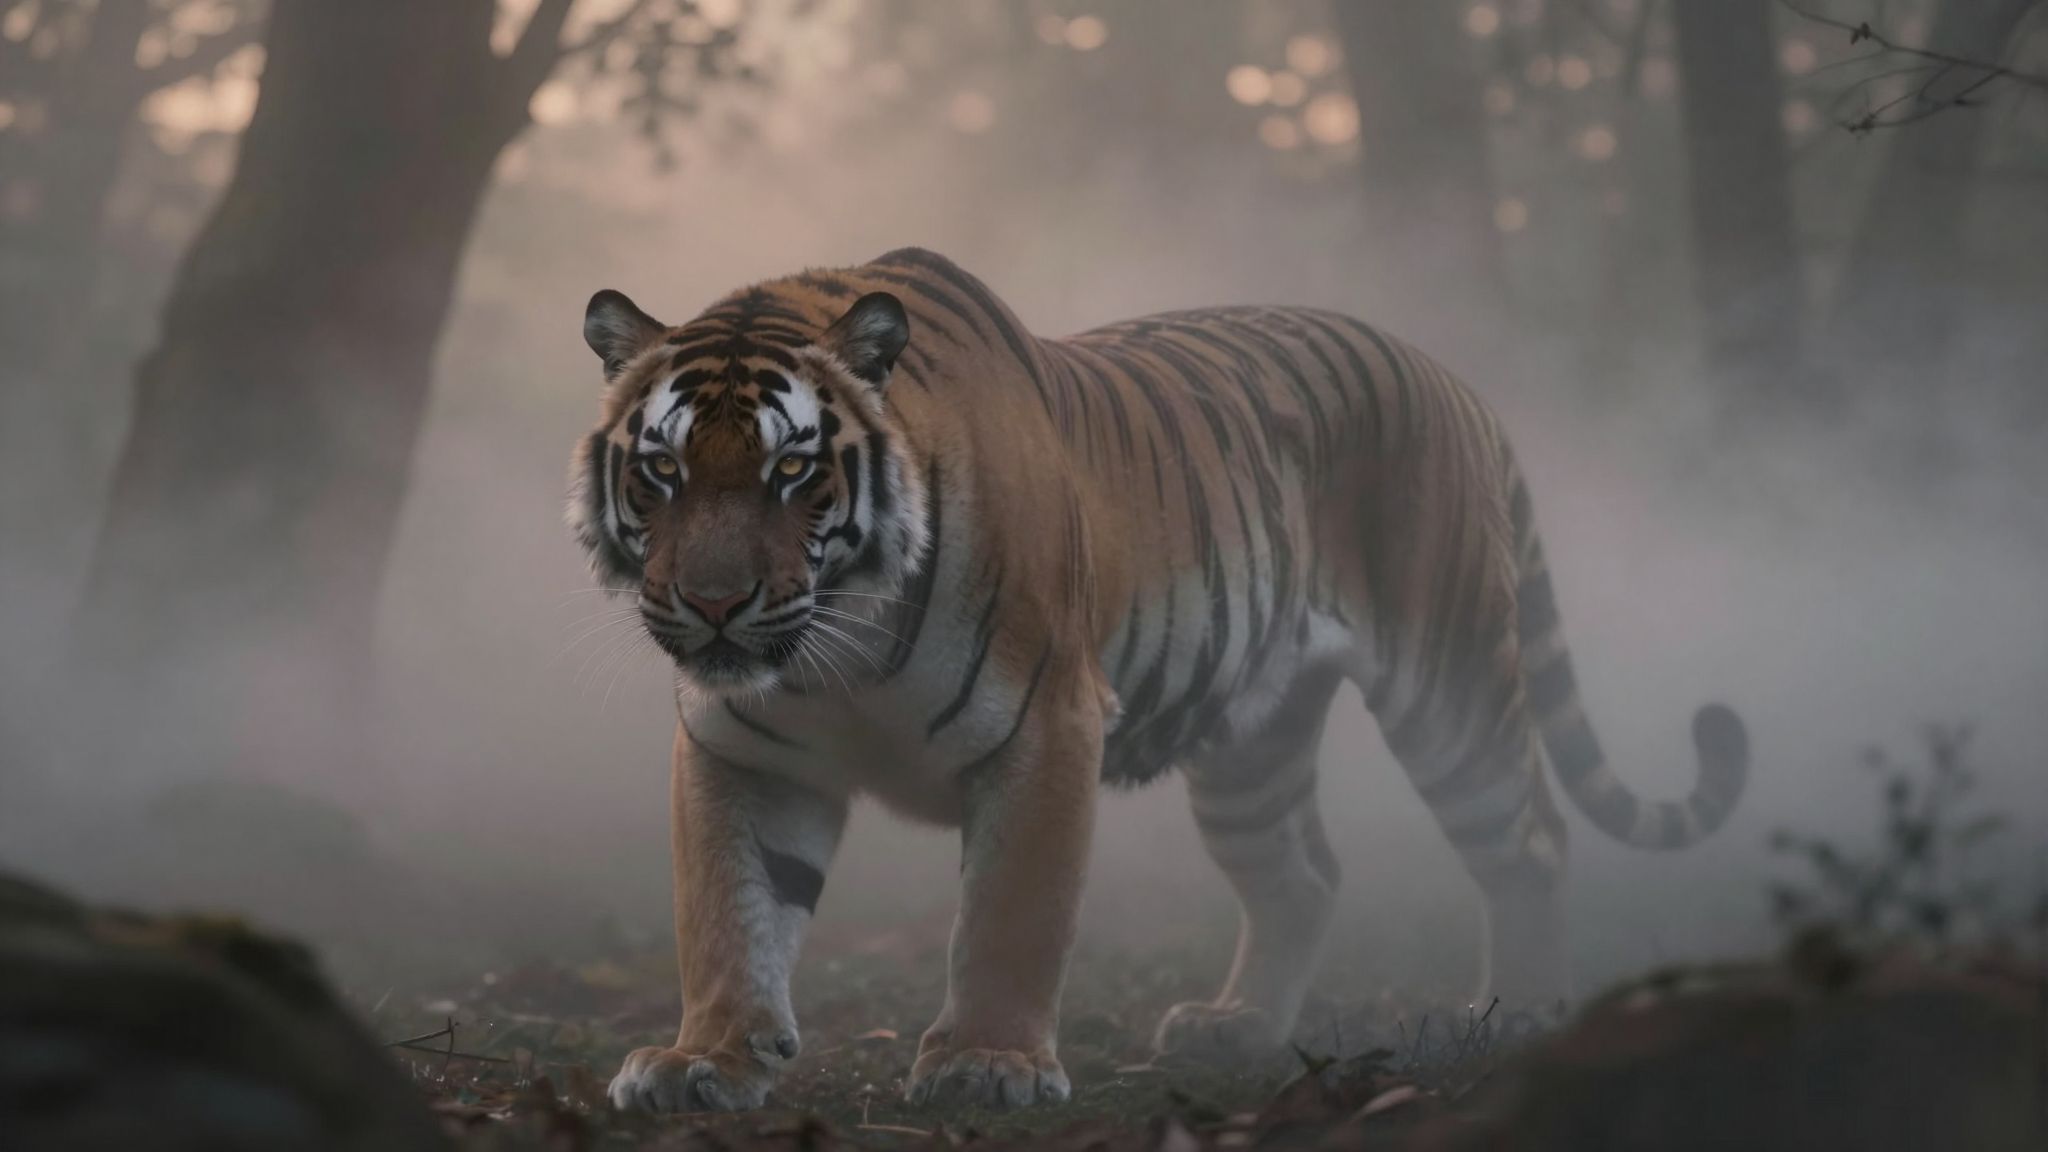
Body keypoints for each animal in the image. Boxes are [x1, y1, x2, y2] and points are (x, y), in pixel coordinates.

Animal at [568, 247, 1750, 1114]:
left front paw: (987, 1065)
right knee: (1301, 875)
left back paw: (1524, 1015)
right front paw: (707, 1061)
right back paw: (1238, 1028)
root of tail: (1450, 377)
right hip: (1251, 746)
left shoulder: (1045, 722)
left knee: (1529, 837)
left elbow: (1010, 912)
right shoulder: (740, 748)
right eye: (663, 469)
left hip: (1449, 684)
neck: (837, 645)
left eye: (791, 470)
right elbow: (728, 912)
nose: (714, 604)